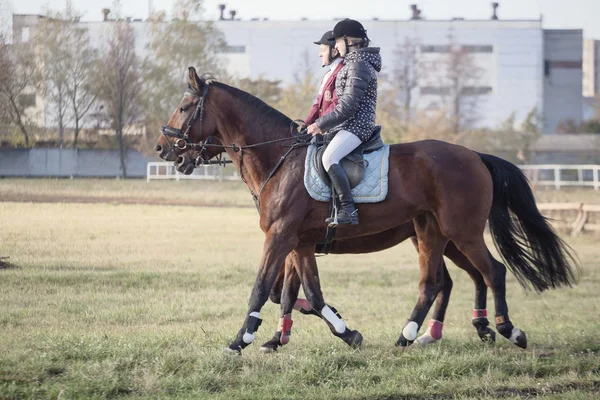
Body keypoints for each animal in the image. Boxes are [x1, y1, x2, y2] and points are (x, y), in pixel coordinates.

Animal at [155, 69, 576, 354]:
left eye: (184, 107)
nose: (163, 148)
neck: (279, 157)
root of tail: (473, 155)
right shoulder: (299, 243)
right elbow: (305, 294)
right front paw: (338, 333)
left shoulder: (280, 237)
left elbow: (263, 289)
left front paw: (240, 340)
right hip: (433, 233)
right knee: (439, 282)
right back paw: (417, 335)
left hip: (463, 232)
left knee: (491, 272)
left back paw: (505, 330)